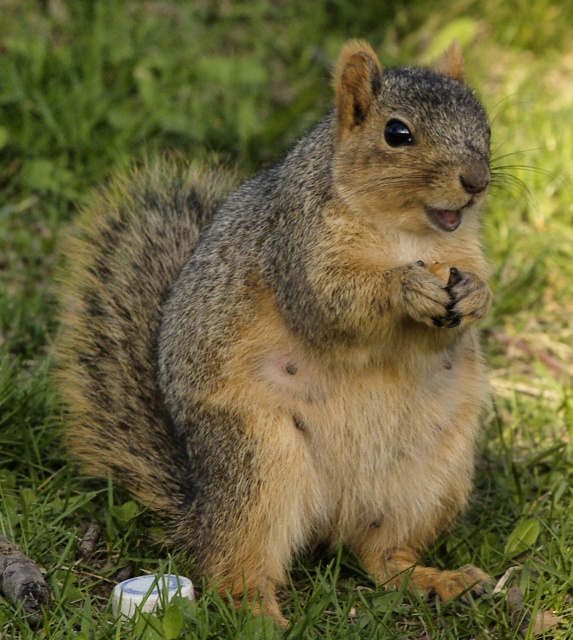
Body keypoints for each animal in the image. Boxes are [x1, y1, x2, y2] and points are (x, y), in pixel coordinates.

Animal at [54, 41, 492, 624]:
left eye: (483, 120)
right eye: (397, 133)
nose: (477, 182)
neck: (407, 233)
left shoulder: (462, 252)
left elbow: (452, 323)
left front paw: (477, 295)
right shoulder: (297, 247)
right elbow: (329, 305)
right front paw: (404, 287)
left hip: (432, 475)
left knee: (380, 555)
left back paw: (437, 580)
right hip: (257, 460)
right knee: (231, 563)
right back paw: (258, 611)